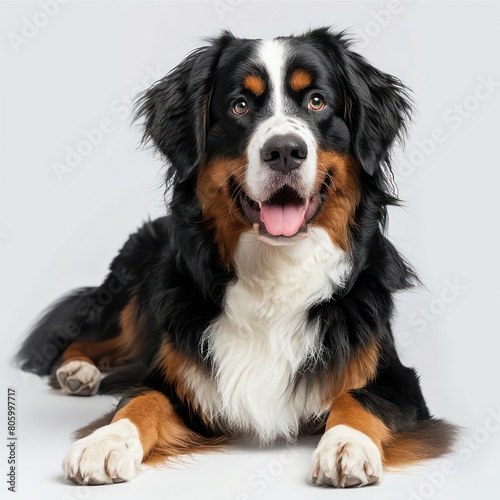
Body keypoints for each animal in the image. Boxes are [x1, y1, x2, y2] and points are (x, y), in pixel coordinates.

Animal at [17, 25, 458, 486]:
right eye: (240, 105)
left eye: (317, 101)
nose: (284, 150)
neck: (276, 270)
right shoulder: (175, 375)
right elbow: (142, 398)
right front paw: (106, 441)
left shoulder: (397, 378)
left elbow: (358, 399)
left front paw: (346, 444)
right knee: (84, 337)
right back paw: (77, 370)